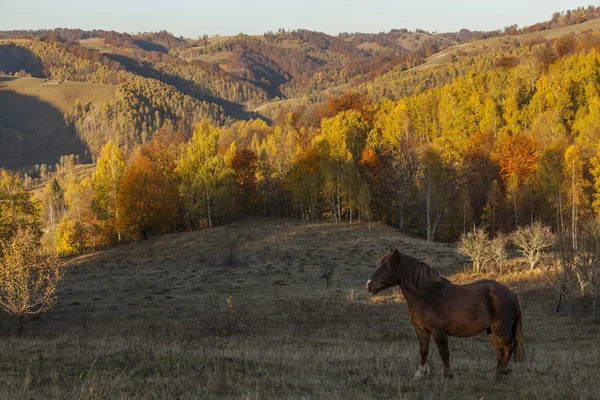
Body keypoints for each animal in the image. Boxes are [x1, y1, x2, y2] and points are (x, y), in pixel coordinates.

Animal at [364, 248, 524, 380]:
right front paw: (420, 374)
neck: (426, 296)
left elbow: (444, 353)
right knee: (500, 351)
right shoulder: (421, 331)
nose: (368, 285)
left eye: (386, 267)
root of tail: (512, 294)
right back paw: (496, 375)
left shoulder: (438, 331)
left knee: (509, 346)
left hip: (500, 330)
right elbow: (424, 351)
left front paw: (447, 375)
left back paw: (502, 372)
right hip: (491, 331)